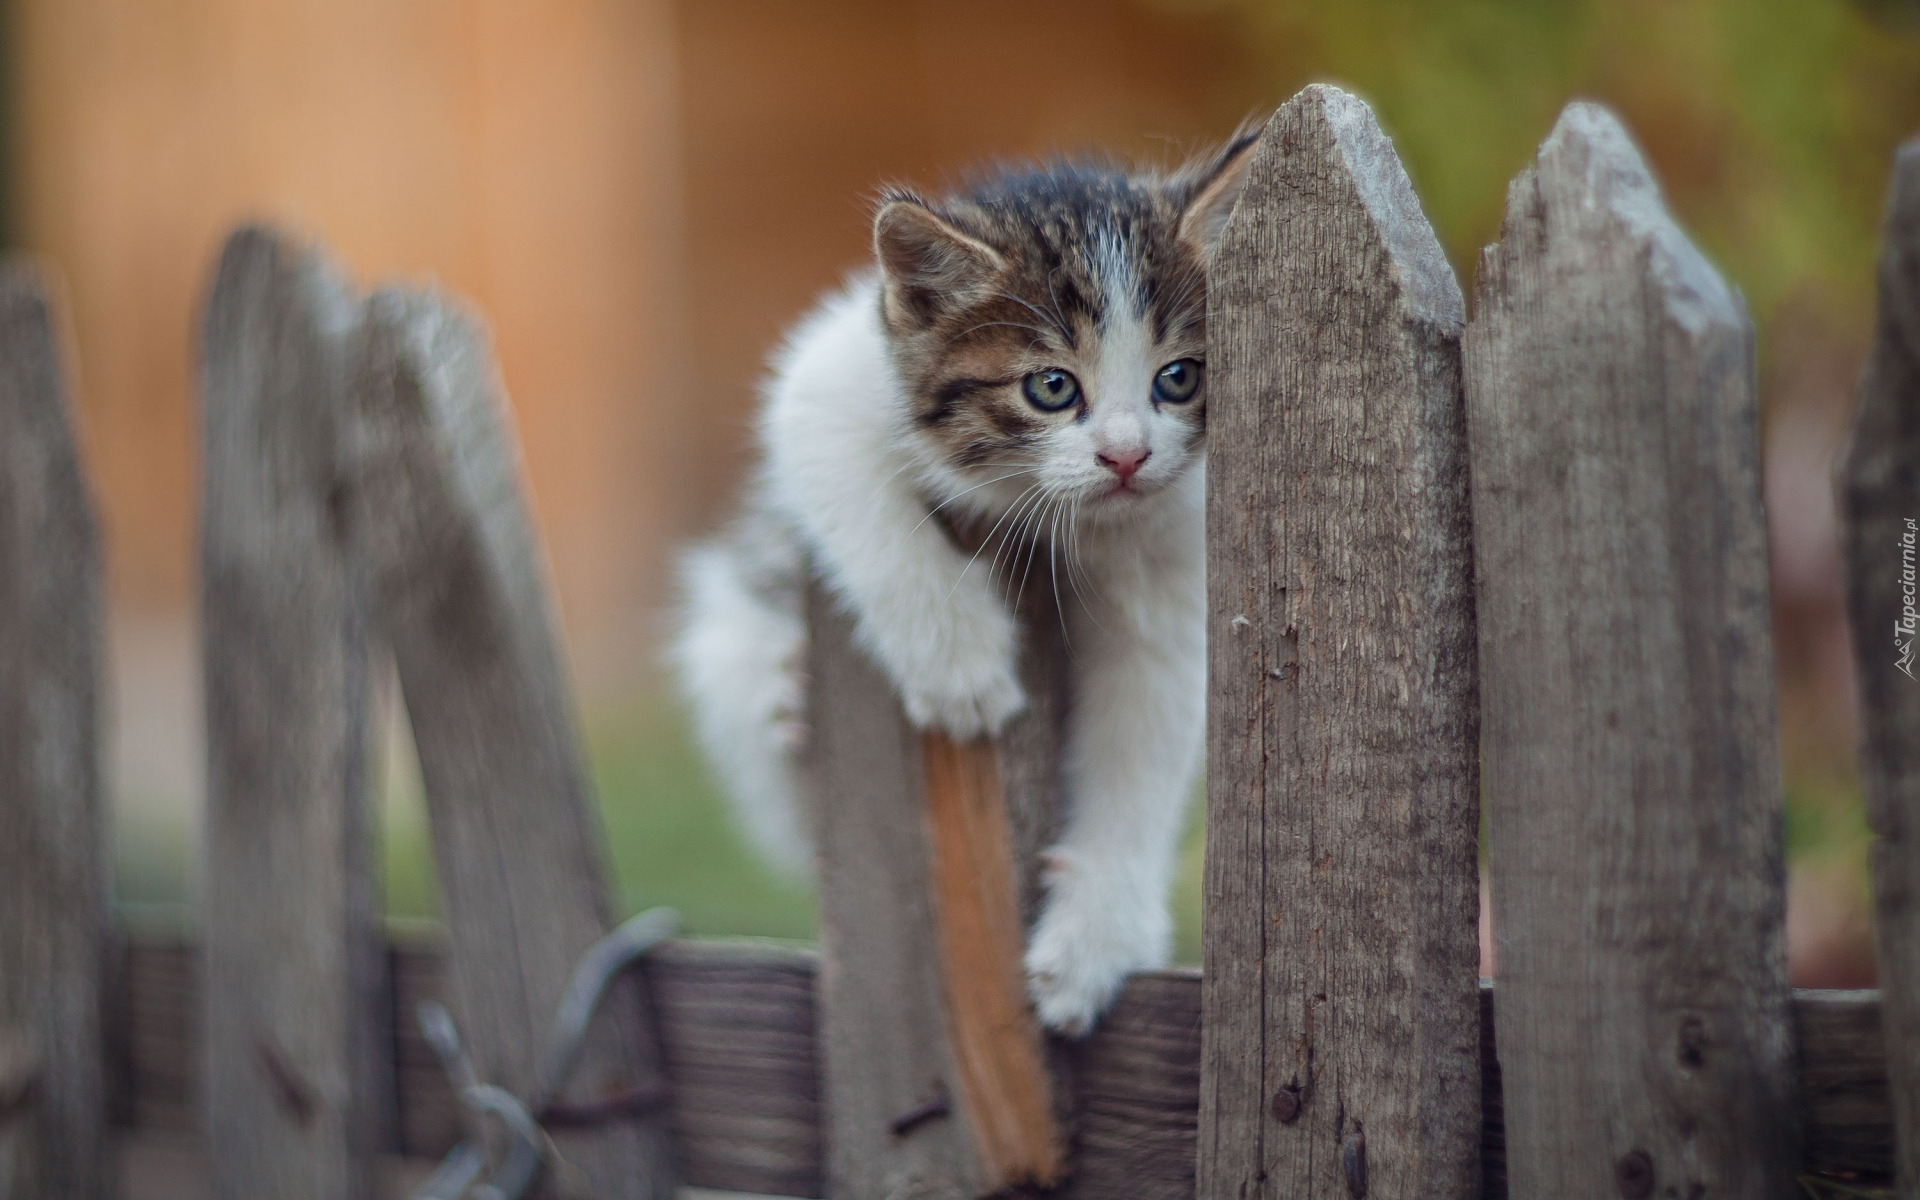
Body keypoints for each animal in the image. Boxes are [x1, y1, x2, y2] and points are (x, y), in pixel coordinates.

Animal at [675, 133, 1259, 1029]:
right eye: (1051, 387)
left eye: (1180, 377)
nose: (1127, 456)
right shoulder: (830, 379)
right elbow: (850, 486)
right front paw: (960, 667)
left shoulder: (1170, 554)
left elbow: (1145, 737)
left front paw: (1095, 935)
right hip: (728, 636)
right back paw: (792, 697)